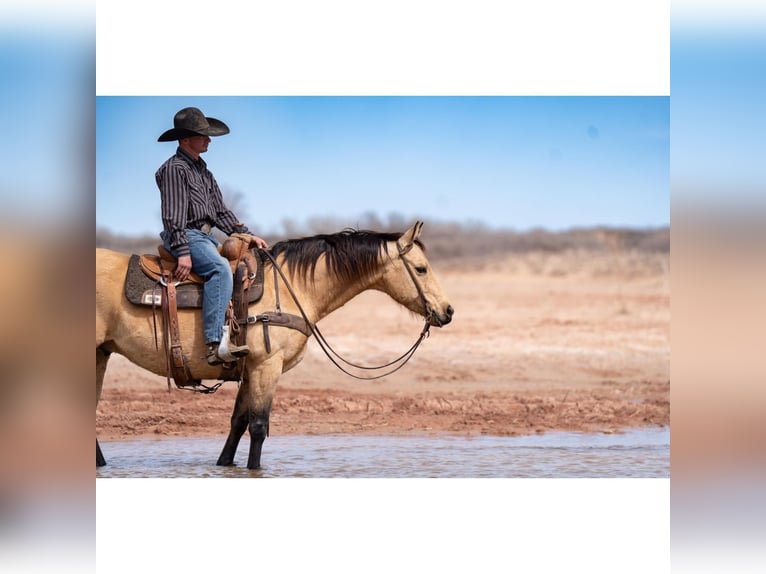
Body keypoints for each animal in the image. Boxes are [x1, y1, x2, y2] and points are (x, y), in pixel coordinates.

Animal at [96, 223, 456, 470]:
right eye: (421, 268)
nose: (448, 311)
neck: (293, 287)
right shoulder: (267, 365)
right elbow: (258, 426)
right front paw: (255, 469)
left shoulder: (250, 368)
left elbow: (238, 424)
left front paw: (225, 466)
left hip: (101, 354)